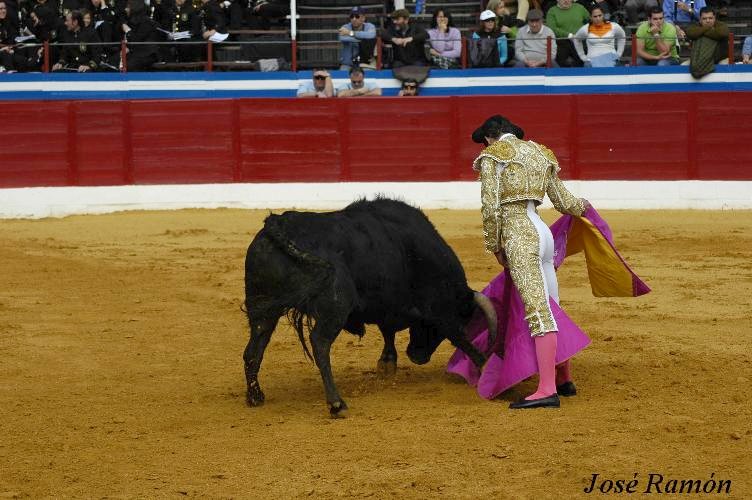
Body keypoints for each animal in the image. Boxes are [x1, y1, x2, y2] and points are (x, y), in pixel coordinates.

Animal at [244, 197, 496, 416]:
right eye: (464, 317)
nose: (417, 356)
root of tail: (278, 223)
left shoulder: (389, 305)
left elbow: (388, 331)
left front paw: (387, 363)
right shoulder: (438, 310)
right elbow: (458, 336)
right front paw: (485, 366)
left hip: (261, 307)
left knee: (254, 348)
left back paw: (255, 396)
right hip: (335, 306)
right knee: (319, 342)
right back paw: (337, 403)